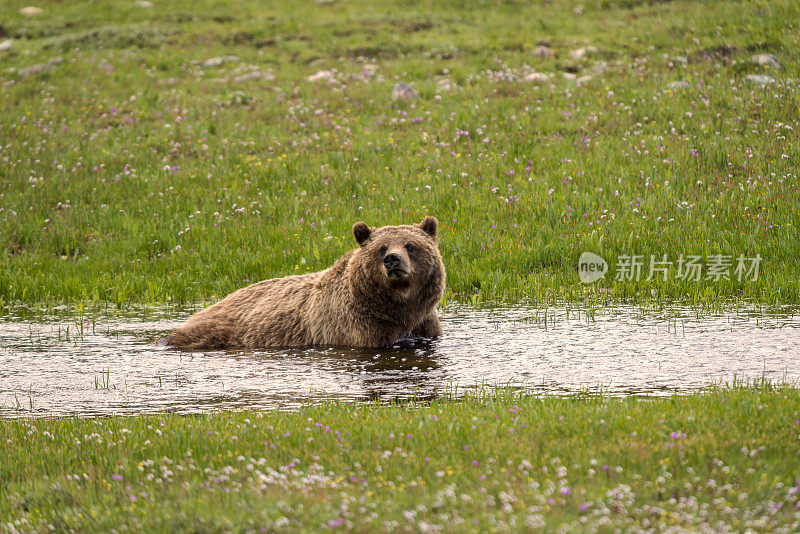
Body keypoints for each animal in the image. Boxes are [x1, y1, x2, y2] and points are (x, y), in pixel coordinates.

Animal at [166, 217, 446, 352]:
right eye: (381, 248)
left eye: (410, 244)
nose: (392, 259)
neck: (399, 306)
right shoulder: (360, 328)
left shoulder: (423, 324)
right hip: (219, 330)